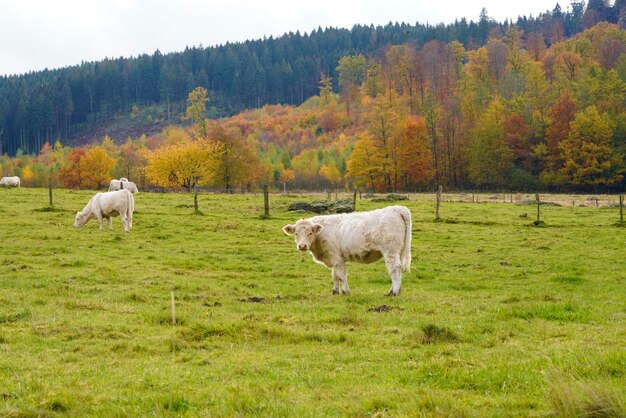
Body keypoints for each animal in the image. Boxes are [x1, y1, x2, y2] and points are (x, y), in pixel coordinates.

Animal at [282, 204, 410, 296]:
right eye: (296, 233)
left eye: (310, 233)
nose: (302, 246)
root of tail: (397, 208)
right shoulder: (333, 258)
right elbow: (334, 276)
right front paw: (335, 291)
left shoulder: (337, 258)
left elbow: (341, 275)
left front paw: (345, 291)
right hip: (398, 251)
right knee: (399, 269)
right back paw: (394, 290)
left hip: (390, 251)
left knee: (395, 269)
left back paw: (394, 292)